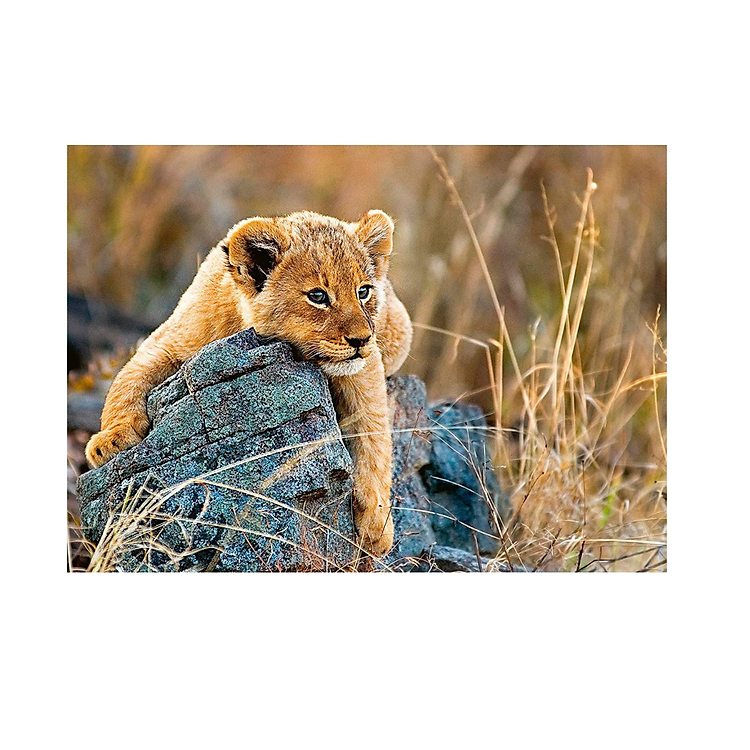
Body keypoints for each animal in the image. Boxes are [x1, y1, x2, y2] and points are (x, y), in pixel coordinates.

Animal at [85, 210, 413, 557]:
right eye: (318, 296)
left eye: (363, 291)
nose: (361, 339)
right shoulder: (168, 341)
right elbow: (127, 380)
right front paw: (109, 441)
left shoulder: (365, 368)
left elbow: (374, 433)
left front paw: (377, 524)